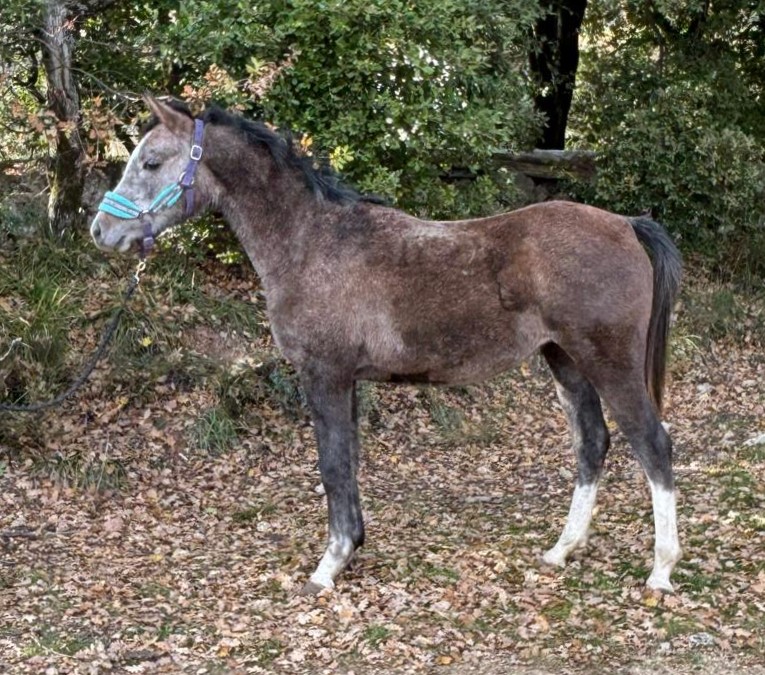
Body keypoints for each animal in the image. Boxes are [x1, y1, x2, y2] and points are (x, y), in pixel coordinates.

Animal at [90, 96, 683, 595]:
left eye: (151, 163)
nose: (101, 231)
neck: (312, 242)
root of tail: (627, 225)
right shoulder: (347, 381)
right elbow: (347, 461)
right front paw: (351, 547)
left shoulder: (324, 375)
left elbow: (332, 465)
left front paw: (328, 566)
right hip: (565, 360)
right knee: (593, 443)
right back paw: (563, 549)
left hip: (609, 363)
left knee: (653, 444)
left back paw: (661, 570)